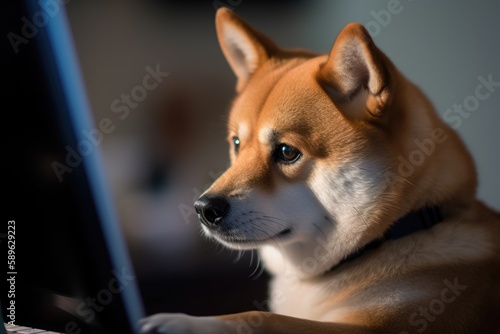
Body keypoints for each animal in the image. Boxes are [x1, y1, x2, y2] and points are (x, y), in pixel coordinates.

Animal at [141, 7, 500, 334]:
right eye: (237, 143)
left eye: (287, 152)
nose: (204, 208)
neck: (398, 229)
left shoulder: (383, 326)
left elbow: (263, 319)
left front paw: (184, 321)